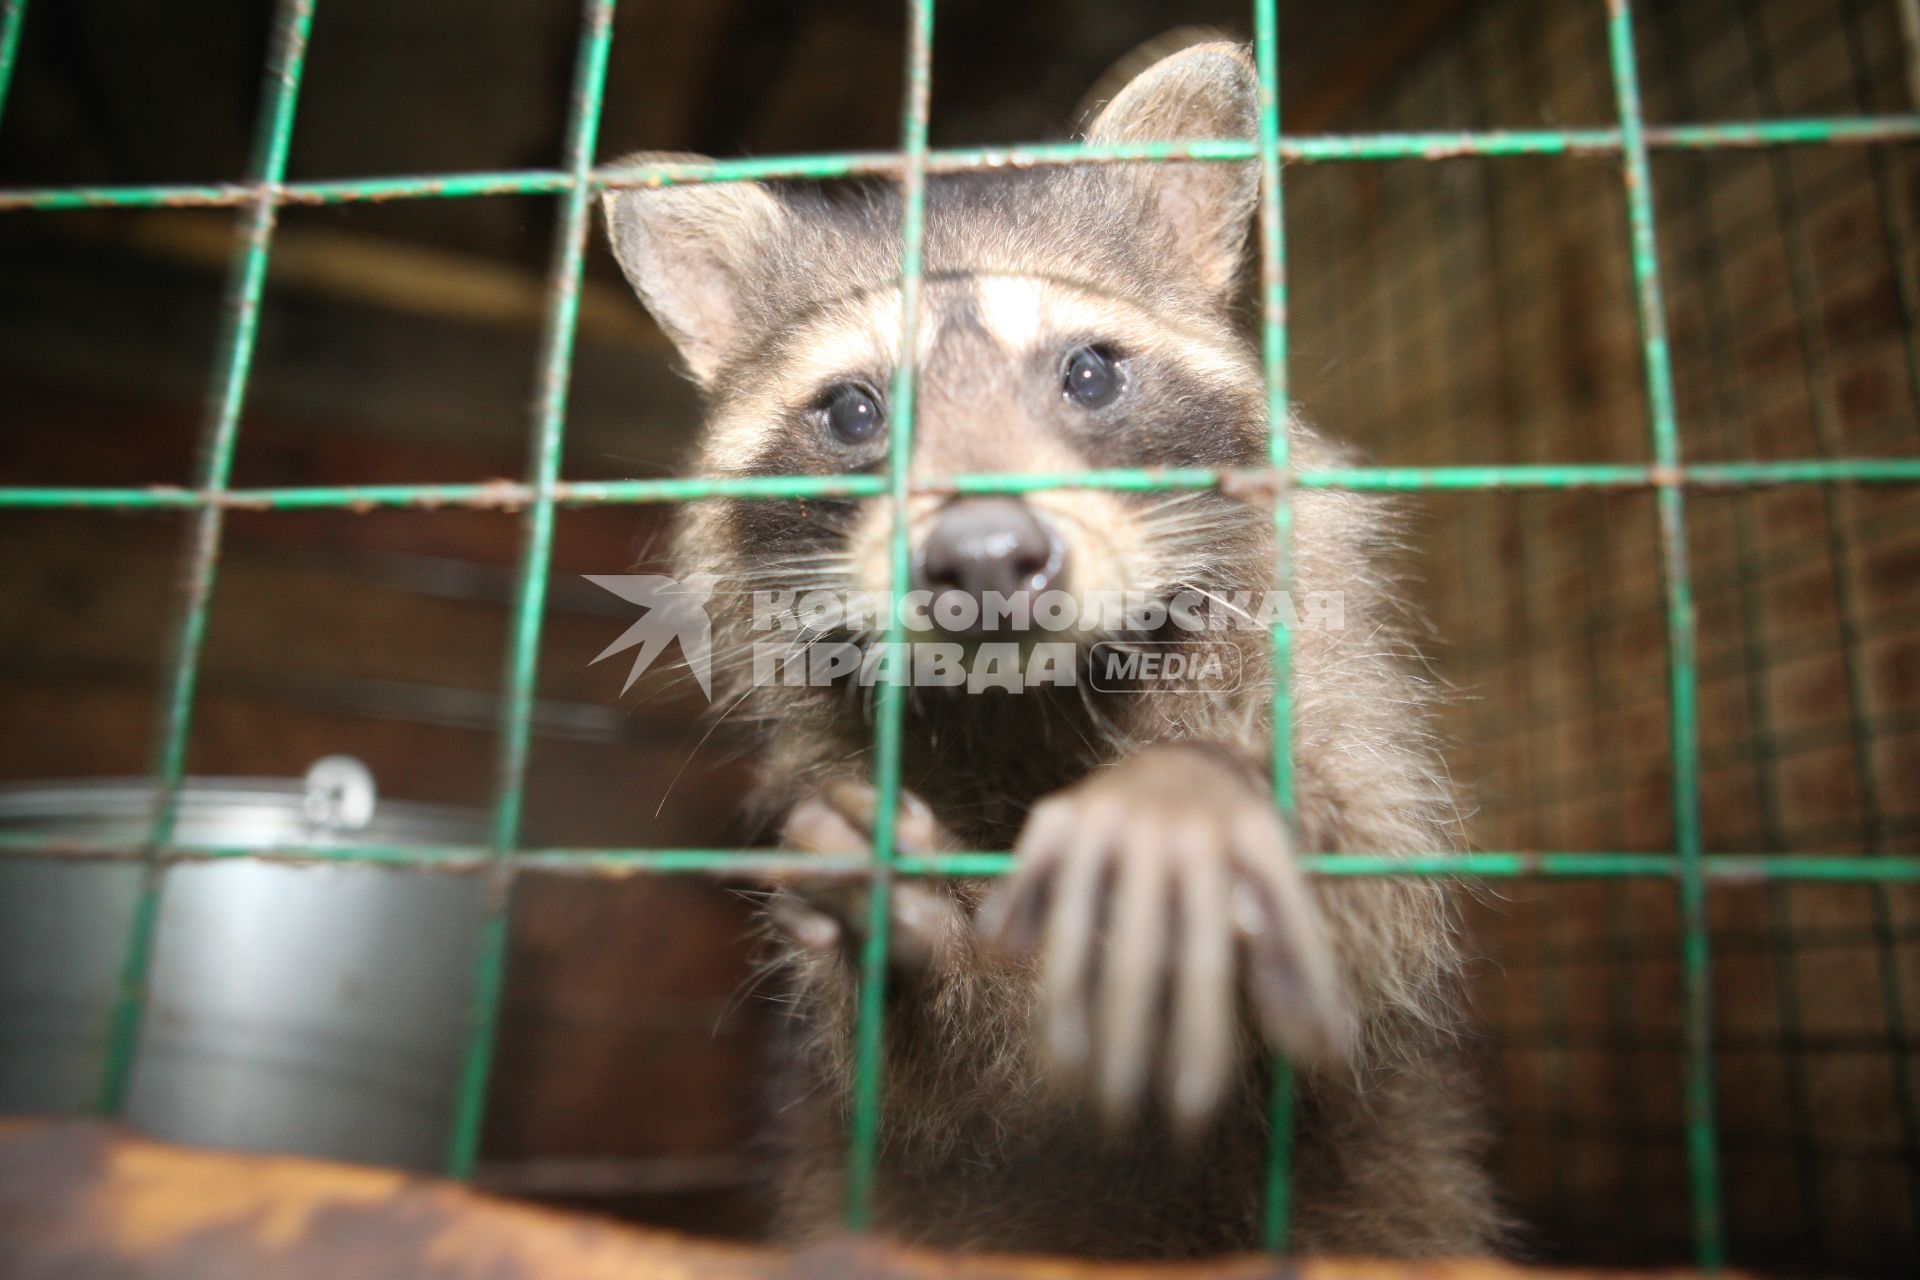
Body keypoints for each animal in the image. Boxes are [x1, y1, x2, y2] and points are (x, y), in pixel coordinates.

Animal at [606, 42, 1505, 1258]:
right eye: (853, 412)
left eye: (1089, 373)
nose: (986, 555)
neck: (1028, 698)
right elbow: (960, 1089)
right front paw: (906, 937)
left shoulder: (1327, 684)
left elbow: (1367, 903)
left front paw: (1203, 791)